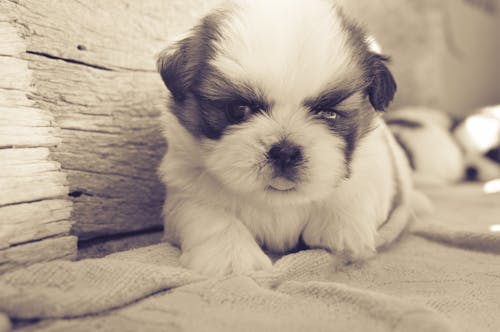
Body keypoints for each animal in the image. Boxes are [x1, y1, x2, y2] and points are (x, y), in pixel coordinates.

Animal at [156, 0, 414, 274]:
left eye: (328, 113)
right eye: (238, 109)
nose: (285, 152)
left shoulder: (374, 165)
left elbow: (354, 189)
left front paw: (341, 228)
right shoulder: (186, 189)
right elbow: (210, 215)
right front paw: (230, 256)